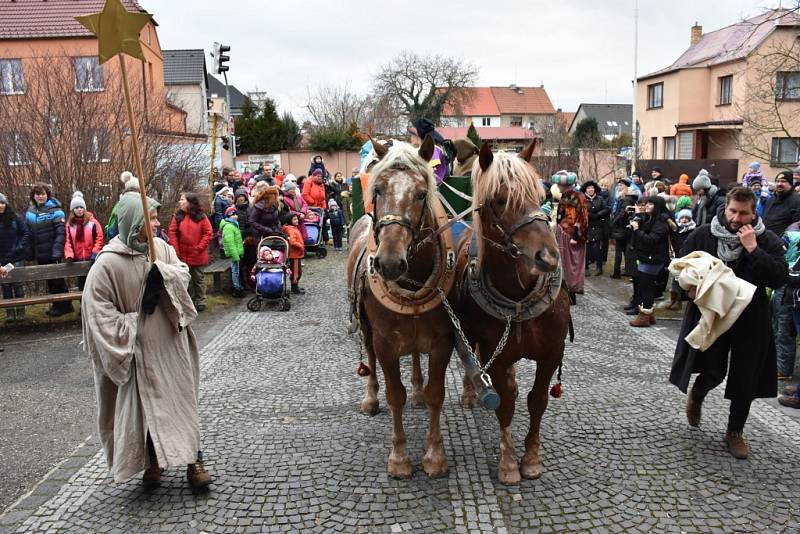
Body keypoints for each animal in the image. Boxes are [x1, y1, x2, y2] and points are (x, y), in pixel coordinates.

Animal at [346, 138, 456, 482]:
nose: (390, 263)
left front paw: (435, 456)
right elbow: (396, 395)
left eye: (421, 193)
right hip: (368, 330)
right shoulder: (386, 343)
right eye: (378, 189)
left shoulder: (442, 341)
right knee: (369, 358)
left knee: (417, 358)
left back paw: (417, 391)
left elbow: (436, 394)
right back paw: (370, 398)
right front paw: (399, 458)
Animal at [454, 141, 572, 486]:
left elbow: (537, 401)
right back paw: (471, 392)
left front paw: (531, 458)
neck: (520, 298)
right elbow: (504, 404)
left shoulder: (551, 353)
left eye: (543, 194)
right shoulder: (497, 352)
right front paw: (508, 463)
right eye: (499, 200)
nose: (548, 257)